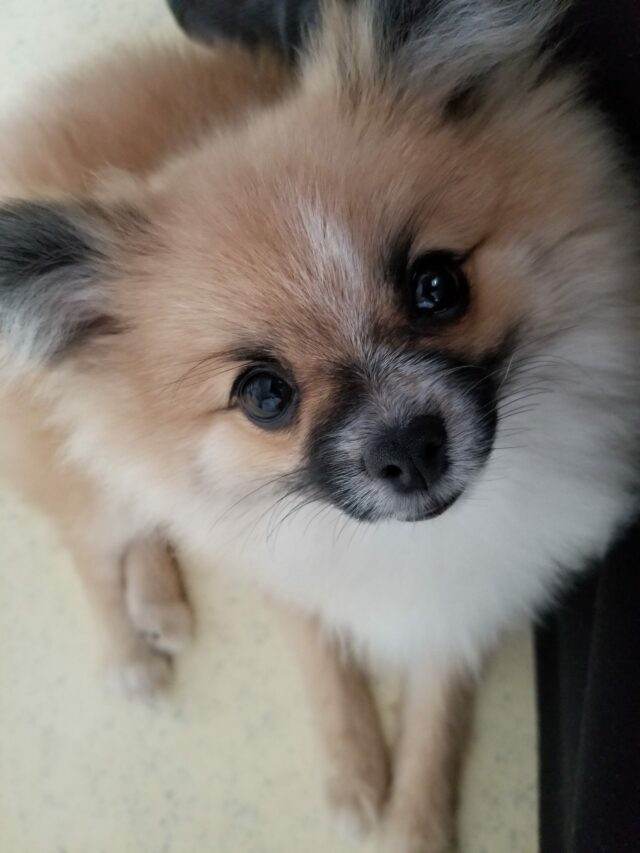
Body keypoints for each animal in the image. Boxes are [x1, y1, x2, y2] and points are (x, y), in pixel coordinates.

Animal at [0, 1, 636, 852]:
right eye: (264, 395)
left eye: (439, 286)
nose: (408, 449)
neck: (412, 542)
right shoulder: (283, 567)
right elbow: (327, 668)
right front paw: (355, 775)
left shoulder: (472, 592)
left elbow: (438, 712)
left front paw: (416, 821)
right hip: (98, 476)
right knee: (89, 544)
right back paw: (132, 650)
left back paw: (161, 606)